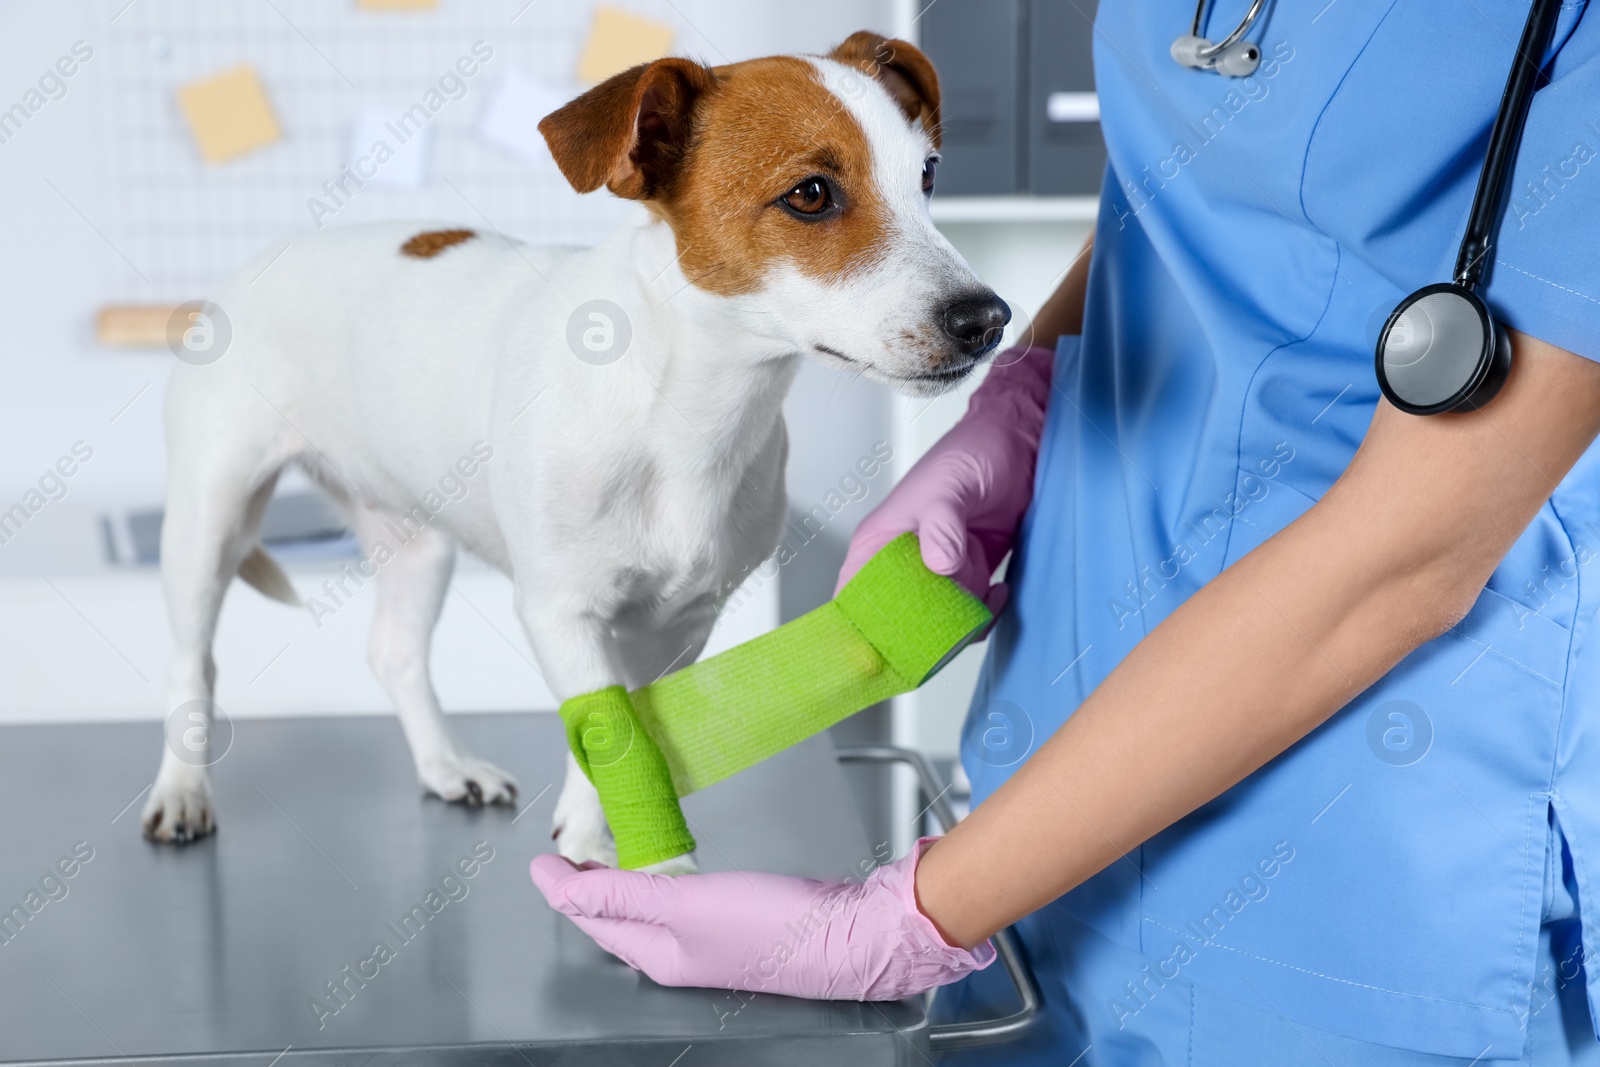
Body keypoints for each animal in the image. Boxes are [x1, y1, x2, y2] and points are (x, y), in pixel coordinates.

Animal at [144, 33, 1004, 870]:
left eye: (927, 175)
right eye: (812, 194)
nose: (988, 319)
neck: (686, 411)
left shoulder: (682, 622)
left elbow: (626, 725)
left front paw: (610, 843)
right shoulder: (560, 607)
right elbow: (609, 724)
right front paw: (623, 853)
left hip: (417, 540)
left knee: (392, 652)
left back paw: (446, 766)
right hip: (209, 519)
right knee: (192, 662)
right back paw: (182, 792)